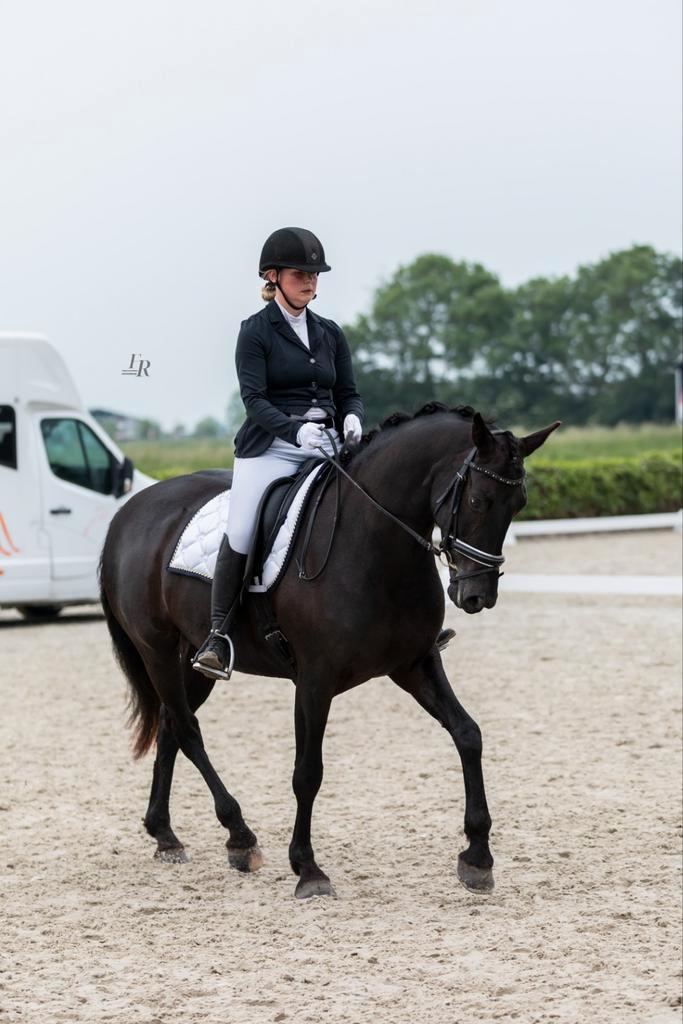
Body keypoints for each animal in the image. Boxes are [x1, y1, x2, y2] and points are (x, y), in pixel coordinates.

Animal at [99, 403, 559, 898]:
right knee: (186, 730)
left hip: (193, 662)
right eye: (478, 501)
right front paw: (308, 869)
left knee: (170, 725)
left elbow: (468, 734)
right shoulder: (315, 680)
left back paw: (166, 836)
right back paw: (240, 835)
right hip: (158, 649)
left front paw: (477, 857)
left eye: (519, 504)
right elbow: (308, 772)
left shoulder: (415, 664)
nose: (477, 596)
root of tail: (130, 511)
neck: (373, 543)